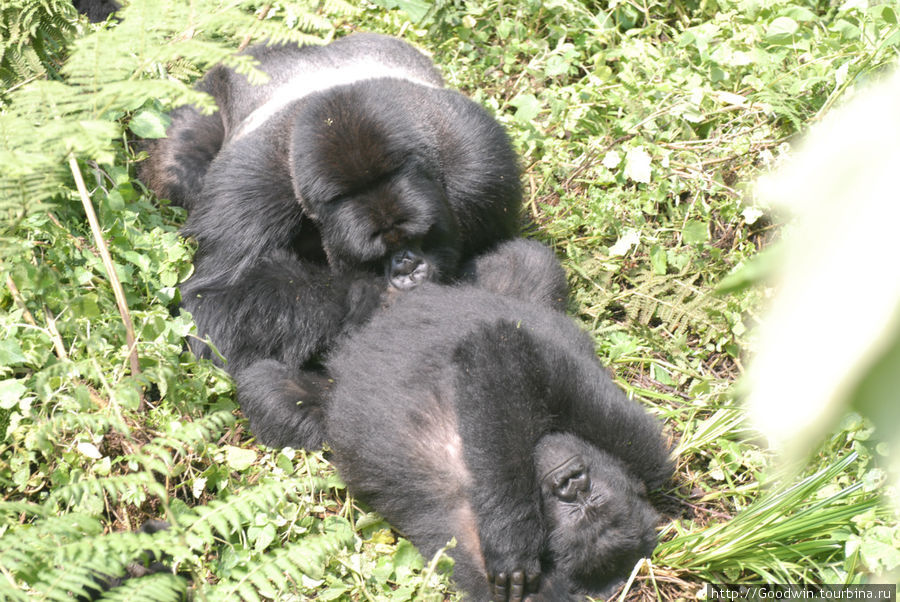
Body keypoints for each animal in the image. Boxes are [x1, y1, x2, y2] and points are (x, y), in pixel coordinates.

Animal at [140, 31, 520, 380]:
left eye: (418, 238)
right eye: (376, 255)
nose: (408, 265)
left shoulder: (480, 167)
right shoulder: (249, 191)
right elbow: (217, 304)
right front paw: (369, 296)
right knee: (179, 170)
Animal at [243, 238, 672, 596]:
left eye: (584, 509)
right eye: (584, 492)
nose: (571, 484)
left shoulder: (482, 561)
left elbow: (495, 361)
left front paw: (511, 539)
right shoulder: (632, 440)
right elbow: (506, 350)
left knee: (270, 393)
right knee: (528, 264)